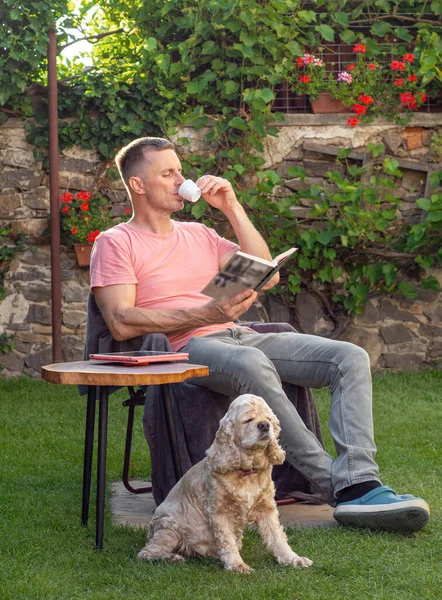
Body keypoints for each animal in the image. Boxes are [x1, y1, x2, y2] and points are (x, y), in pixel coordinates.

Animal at [136, 394, 312, 572]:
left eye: (268, 418)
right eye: (248, 420)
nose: (264, 425)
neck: (247, 472)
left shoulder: (266, 508)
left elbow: (277, 537)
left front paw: (293, 559)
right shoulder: (219, 511)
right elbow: (227, 540)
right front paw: (237, 565)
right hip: (169, 528)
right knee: (146, 552)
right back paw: (172, 557)